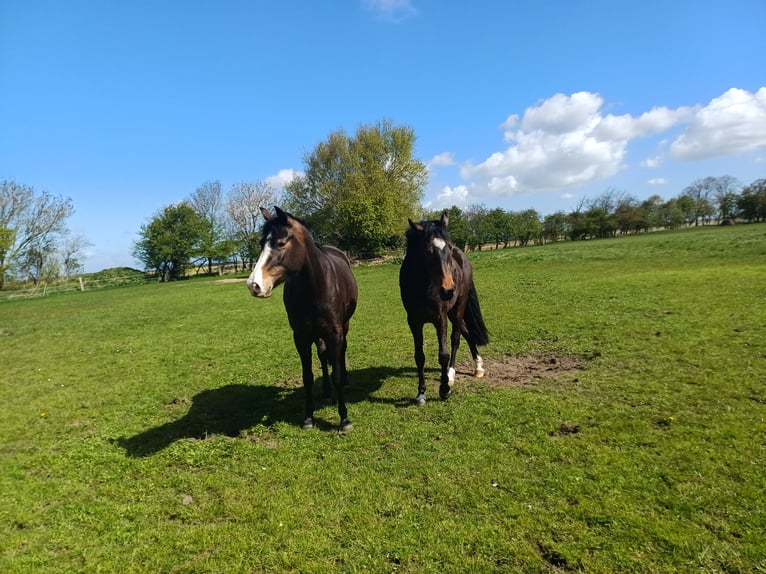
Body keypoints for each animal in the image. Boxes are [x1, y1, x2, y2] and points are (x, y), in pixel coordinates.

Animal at [246, 206, 358, 431]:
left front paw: (344, 419)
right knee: (323, 356)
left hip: (344, 326)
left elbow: (336, 373)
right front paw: (308, 418)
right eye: (261, 243)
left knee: (341, 353)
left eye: (280, 243)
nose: (254, 285)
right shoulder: (301, 336)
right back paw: (326, 393)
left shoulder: (335, 332)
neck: (315, 287)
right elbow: (307, 377)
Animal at [399, 211, 489, 405]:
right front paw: (421, 394)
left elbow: (444, 355)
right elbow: (419, 356)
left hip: (457, 309)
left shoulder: (440, 318)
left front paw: (444, 389)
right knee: (466, 332)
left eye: (449, 249)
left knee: (456, 338)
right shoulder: (414, 322)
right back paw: (478, 366)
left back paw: (453, 374)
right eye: (427, 251)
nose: (448, 290)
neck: (423, 287)